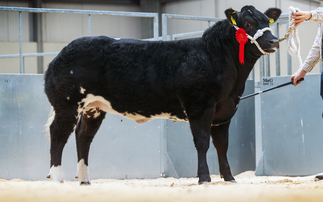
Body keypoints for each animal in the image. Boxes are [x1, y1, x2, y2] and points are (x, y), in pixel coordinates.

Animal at [44, 4, 282, 185]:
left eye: (267, 22)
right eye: (248, 24)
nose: (274, 41)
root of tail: (62, 53)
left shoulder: (225, 111)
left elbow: (222, 145)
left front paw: (229, 178)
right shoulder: (199, 106)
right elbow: (202, 142)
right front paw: (204, 178)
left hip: (93, 107)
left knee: (83, 136)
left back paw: (85, 180)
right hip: (67, 104)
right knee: (58, 134)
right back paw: (56, 179)